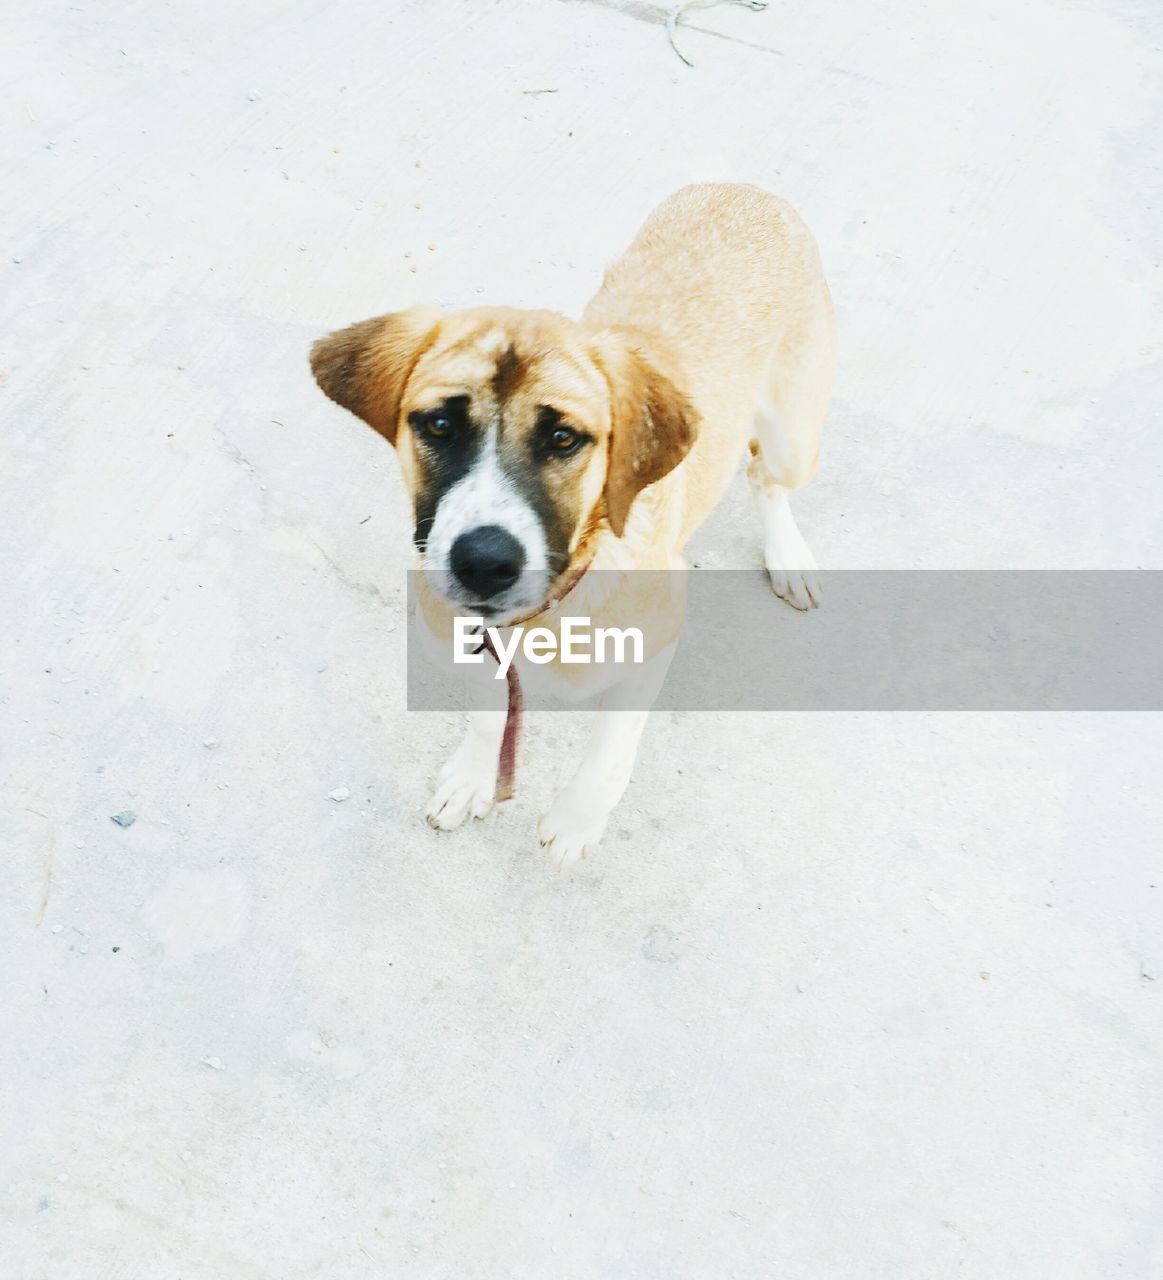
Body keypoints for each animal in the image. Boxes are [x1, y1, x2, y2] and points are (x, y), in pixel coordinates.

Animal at [308, 183, 834, 870]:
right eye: (439, 425)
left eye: (563, 438)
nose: (483, 563)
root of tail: (746, 190)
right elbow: (487, 713)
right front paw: (475, 775)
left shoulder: (654, 644)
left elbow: (609, 757)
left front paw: (577, 820)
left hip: (795, 436)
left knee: (765, 475)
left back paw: (787, 553)